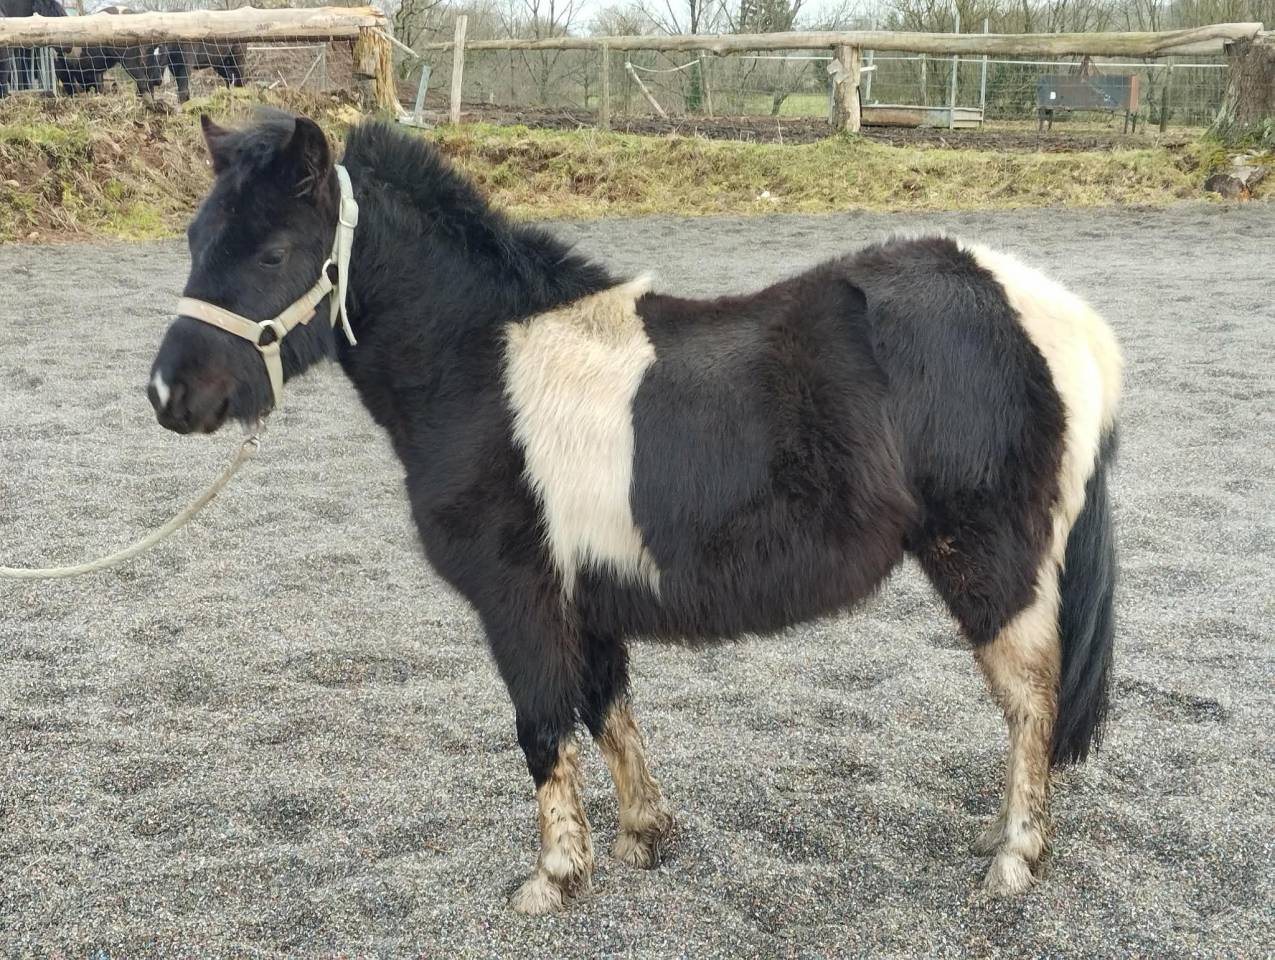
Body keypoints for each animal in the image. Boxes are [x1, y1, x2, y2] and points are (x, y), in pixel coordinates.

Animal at [147, 110, 1123, 914]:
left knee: (1029, 700)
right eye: (194, 239)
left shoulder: (520, 600)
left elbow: (543, 728)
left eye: (272, 253)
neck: (480, 367)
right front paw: (641, 838)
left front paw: (553, 878)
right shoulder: (588, 597)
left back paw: (1012, 857)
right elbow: (606, 709)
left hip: (990, 563)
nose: (169, 395)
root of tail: (1054, 315)